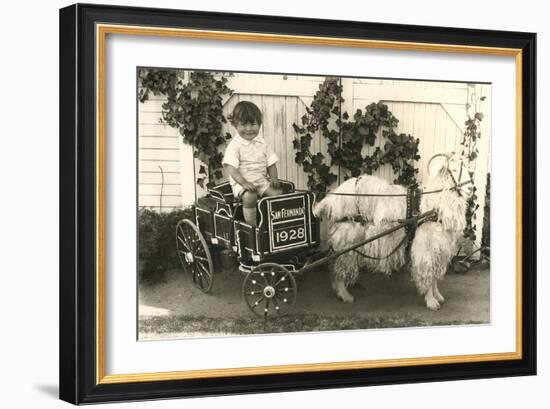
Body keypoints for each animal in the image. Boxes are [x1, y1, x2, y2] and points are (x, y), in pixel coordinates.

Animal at [316, 155, 468, 310]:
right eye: (454, 169)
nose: (470, 187)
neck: (433, 206)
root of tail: (333, 199)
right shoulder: (425, 249)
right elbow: (428, 274)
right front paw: (431, 301)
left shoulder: (438, 249)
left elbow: (434, 277)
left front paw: (437, 295)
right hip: (347, 241)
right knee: (339, 268)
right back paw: (345, 294)